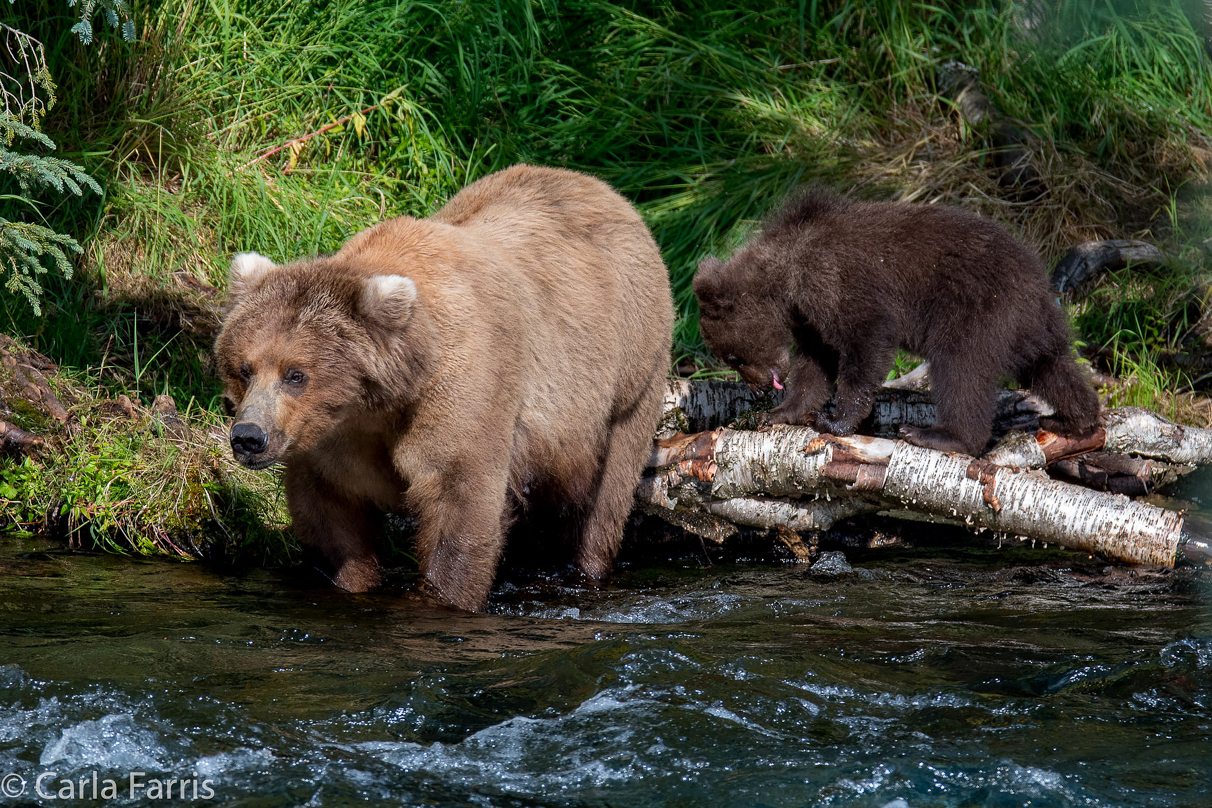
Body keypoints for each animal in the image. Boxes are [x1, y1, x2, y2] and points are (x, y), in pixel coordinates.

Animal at [215, 164, 673, 610]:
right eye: (244, 368)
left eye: (296, 374)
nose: (248, 437)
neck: (381, 400)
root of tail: (604, 189)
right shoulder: (328, 436)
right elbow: (331, 514)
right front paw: (351, 580)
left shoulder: (461, 386)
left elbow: (459, 497)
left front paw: (443, 597)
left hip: (627, 372)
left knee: (607, 493)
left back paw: (586, 568)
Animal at [693, 190, 1100, 455]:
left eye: (732, 357)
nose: (759, 390)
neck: (786, 280)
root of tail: (1036, 277)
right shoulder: (810, 317)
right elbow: (815, 363)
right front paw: (782, 413)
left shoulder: (836, 282)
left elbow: (865, 343)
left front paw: (835, 421)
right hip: (1029, 324)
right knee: (1052, 366)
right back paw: (1075, 420)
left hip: (975, 310)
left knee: (960, 370)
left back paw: (939, 435)